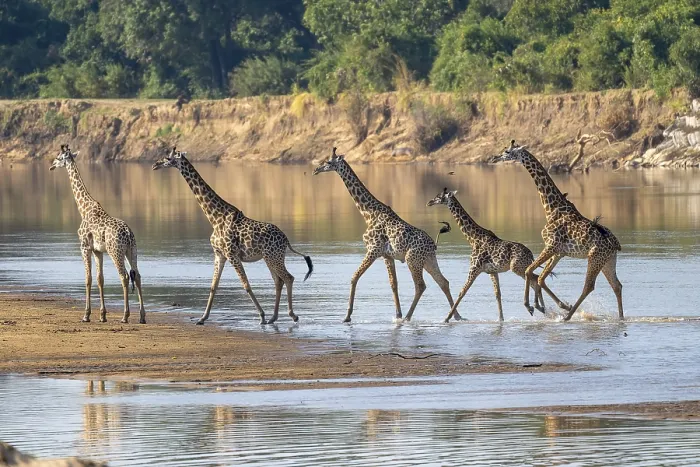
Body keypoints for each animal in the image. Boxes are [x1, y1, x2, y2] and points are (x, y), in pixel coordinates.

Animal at [50, 145, 146, 324]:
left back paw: (125, 316)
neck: (84, 208)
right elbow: (100, 279)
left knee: (124, 276)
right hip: (132, 250)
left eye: (59, 157)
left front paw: (86, 315)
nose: (51, 165)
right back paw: (142, 317)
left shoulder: (84, 247)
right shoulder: (97, 251)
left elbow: (88, 279)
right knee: (137, 276)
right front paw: (102, 315)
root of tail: (128, 233)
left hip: (116, 251)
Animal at [152, 147, 312, 325]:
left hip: (273, 257)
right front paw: (202, 318)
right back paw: (273, 317)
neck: (214, 218)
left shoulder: (231, 254)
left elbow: (246, 285)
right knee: (279, 280)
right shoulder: (219, 254)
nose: (155, 164)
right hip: (270, 257)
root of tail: (286, 239)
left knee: (288, 278)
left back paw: (291, 315)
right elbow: (213, 286)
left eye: (168, 158)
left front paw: (261, 316)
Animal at [313, 147, 459, 322]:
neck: (368, 213)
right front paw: (397, 314)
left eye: (329, 161)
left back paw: (409, 317)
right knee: (443, 282)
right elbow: (393, 284)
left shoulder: (373, 249)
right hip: (428, 260)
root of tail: (433, 245)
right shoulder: (387, 255)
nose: (316, 169)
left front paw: (347, 316)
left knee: (421, 285)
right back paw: (456, 316)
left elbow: (354, 277)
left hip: (412, 259)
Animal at [427, 187, 572, 322]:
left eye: (439, 196)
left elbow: (462, 291)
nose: (429, 202)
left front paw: (446, 318)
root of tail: (530, 255)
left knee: (535, 279)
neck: (473, 238)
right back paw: (544, 309)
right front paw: (501, 319)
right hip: (521, 267)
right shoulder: (492, 271)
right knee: (535, 280)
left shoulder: (474, 268)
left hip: (517, 267)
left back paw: (544, 307)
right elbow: (498, 294)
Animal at [498, 140, 623, 320]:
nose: (495, 158)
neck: (551, 208)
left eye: (507, 151)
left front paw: (532, 305)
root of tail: (616, 244)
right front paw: (545, 305)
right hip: (608, 259)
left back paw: (568, 316)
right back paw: (620, 317)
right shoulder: (558, 252)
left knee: (589, 286)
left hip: (595, 258)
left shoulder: (551, 246)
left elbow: (530, 271)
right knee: (616, 285)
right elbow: (540, 277)